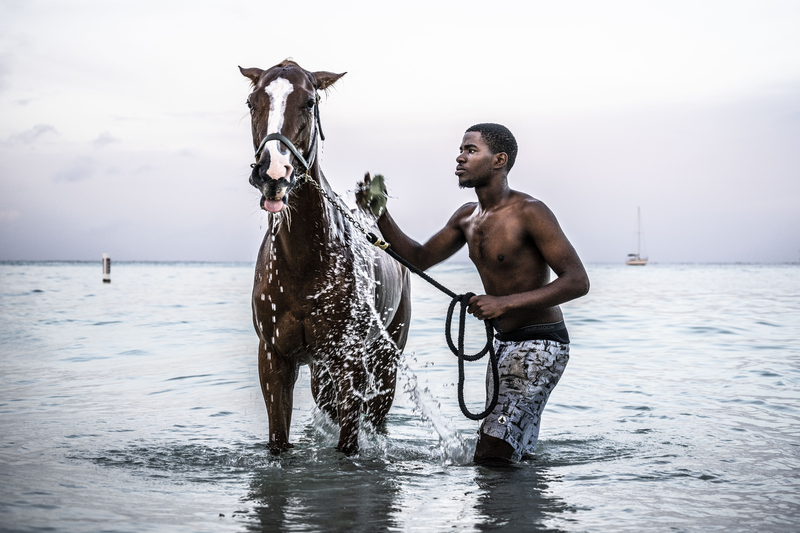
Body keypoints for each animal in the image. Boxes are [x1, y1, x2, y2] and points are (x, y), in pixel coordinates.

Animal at [239, 60, 412, 456]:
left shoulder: (350, 363)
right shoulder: (275, 361)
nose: (273, 173)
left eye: (309, 102)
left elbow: (348, 445)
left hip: (385, 359)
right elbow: (279, 442)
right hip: (322, 371)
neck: (303, 262)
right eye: (252, 102)